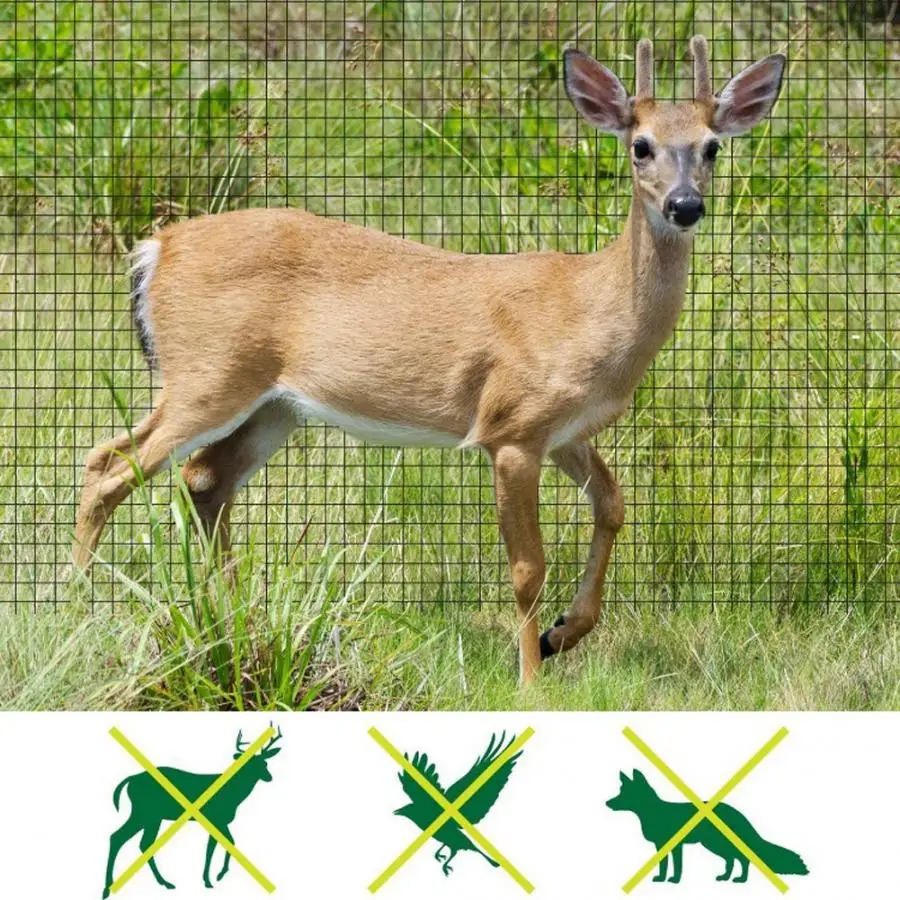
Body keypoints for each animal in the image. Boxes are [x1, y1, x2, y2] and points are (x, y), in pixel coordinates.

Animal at [73, 36, 785, 686]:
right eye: (640, 145)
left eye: (712, 146)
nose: (685, 205)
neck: (588, 309)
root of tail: (154, 250)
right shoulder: (512, 428)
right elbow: (527, 569)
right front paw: (531, 679)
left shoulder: (564, 430)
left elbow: (613, 504)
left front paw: (562, 634)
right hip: (207, 374)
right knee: (108, 464)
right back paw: (77, 610)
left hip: (274, 405)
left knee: (203, 480)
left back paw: (230, 618)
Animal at [102, 727, 282, 897]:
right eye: (249, 763)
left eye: (265, 763)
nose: (269, 777)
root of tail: (130, 779)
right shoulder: (216, 818)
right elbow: (215, 847)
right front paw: (211, 879)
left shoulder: (221, 821)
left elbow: (229, 843)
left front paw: (217, 875)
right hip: (145, 812)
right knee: (124, 838)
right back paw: (110, 888)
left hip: (151, 817)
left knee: (136, 841)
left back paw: (159, 883)